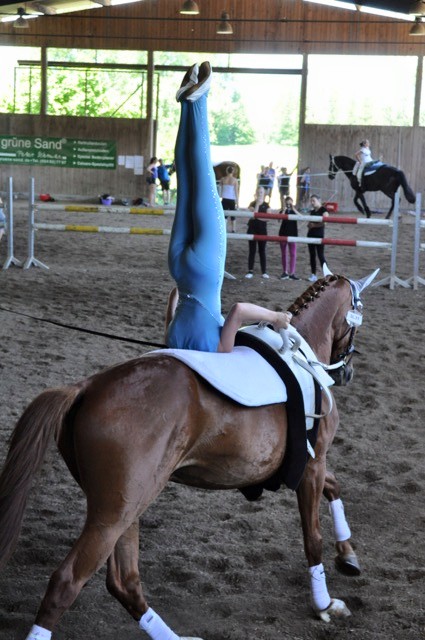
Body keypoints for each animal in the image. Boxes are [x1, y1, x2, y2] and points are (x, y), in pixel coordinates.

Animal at [0, 274, 372, 636]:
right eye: (358, 312)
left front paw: (348, 556)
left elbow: (335, 487)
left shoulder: (309, 464)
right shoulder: (312, 463)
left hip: (127, 504)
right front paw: (324, 604)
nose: (348, 372)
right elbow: (313, 537)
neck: (300, 354)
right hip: (111, 516)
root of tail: (86, 387)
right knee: (67, 582)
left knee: (124, 581)